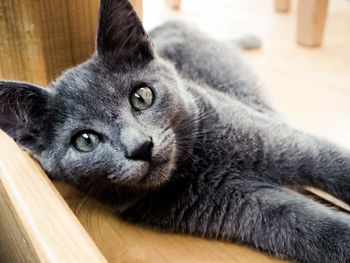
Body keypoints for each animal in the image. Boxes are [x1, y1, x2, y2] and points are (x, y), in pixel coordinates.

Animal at [0, 0, 350, 262]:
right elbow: (316, 229)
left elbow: (334, 163)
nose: (140, 147)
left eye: (142, 96)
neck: (199, 161)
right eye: (85, 140)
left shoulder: (287, 143)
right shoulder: (244, 206)